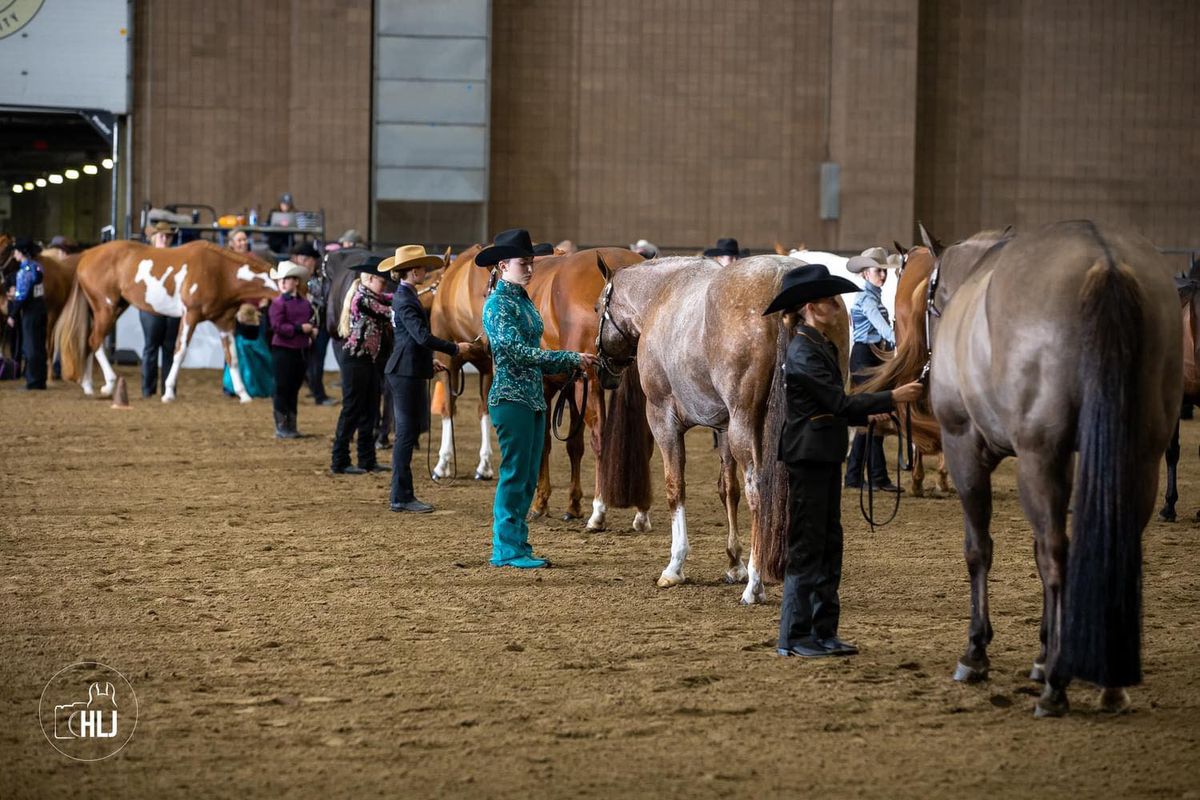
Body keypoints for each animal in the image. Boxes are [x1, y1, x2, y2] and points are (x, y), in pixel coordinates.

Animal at [55, 237, 279, 400]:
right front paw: (169, 393)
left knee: (89, 342)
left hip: (112, 308)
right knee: (95, 341)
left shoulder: (224, 322)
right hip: (106, 308)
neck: (220, 272)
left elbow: (232, 357)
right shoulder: (190, 315)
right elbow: (180, 351)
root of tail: (87, 254)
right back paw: (108, 385)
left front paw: (244, 395)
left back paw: (88, 386)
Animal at [868, 221, 1176, 714]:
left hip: (1037, 456)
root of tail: (1105, 263)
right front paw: (1042, 653)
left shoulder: (965, 446)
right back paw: (1108, 682)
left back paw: (1056, 687)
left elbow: (979, 548)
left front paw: (977, 652)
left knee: (1056, 553)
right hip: (1139, 456)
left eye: (926, 298)